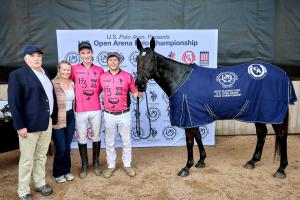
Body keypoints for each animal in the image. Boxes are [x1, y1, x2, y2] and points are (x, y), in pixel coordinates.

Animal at [136, 37, 298, 178]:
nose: (139, 84)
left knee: (281, 135)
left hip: (272, 112)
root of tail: (283, 74)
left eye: (152, 59)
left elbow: (189, 141)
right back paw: (252, 161)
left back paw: (281, 169)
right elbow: (198, 136)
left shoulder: (188, 116)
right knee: (262, 133)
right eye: (137, 59)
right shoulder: (194, 116)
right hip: (257, 112)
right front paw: (201, 160)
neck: (180, 78)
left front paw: (186, 167)